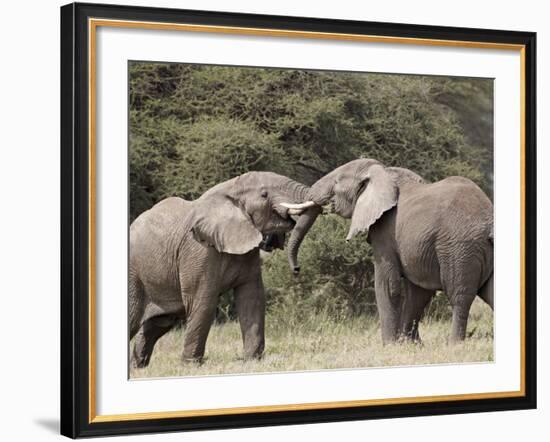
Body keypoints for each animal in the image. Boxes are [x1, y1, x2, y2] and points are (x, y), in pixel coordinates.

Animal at [129, 171, 314, 368]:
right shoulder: (198, 249)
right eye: (264, 194)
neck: (230, 188)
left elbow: (252, 297)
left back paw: (137, 367)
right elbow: (204, 302)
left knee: (158, 324)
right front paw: (191, 366)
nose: (296, 269)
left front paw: (252, 361)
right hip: (134, 273)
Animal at [286, 159, 494, 346]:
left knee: (459, 295)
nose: (296, 269)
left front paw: (389, 345)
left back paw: (455, 344)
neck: (381, 171)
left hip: (459, 247)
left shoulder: (386, 230)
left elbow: (387, 285)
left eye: (336, 183)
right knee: (490, 292)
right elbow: (418, 293)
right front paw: (411, 345)